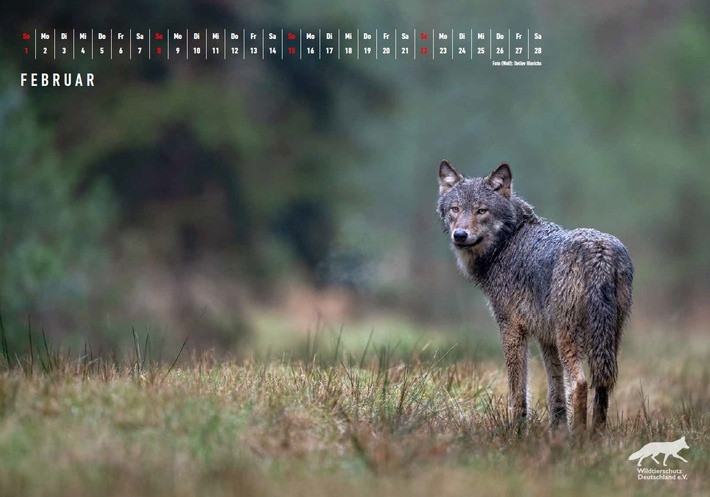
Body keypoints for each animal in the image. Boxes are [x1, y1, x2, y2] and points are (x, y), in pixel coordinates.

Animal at [437, 160, 633, 432]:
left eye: (481, 210)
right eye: (455, 209)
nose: (460, 235)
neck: (508, 242)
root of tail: (601, 253)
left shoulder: (512, 329)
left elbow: (518, 391)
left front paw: (517, 432)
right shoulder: (545, 338)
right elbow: (555, 393)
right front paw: (557, 432)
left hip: (569, 337)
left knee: (580, 383)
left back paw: (580, 437)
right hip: (607, 339)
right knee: (603, 384)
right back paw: (596, 436)